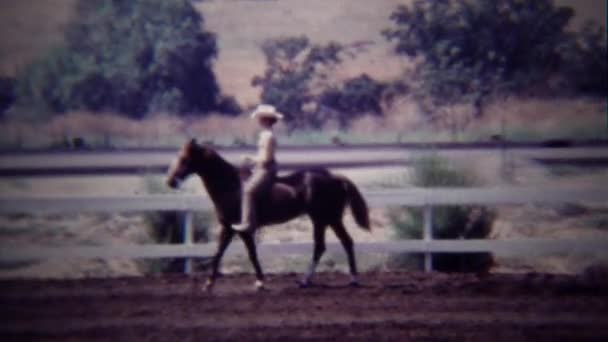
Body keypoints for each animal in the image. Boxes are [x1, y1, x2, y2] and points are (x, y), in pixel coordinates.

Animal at [166, 139, 372, 292]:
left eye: (184, 158)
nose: (170, 181)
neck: (232, 187)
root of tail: (334, 177)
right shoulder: (228, 228)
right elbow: (218, 253)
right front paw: (208, 284)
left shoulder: (242, 230)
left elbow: (251, 254)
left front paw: (260, 282)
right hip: (328, 219)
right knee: (341, 243)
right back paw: (344, 280)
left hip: (323, 219)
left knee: (326, 246)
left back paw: (312, 281)